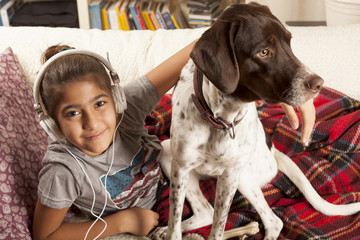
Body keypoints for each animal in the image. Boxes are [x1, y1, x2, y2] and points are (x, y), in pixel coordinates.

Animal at [155, 2, 360, 240]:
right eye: (264, 52)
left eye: (289, 42)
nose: (319, 84)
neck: (222, 119)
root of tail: (273, 151)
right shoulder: (180, 169)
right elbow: (175, 224)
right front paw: (170, 230)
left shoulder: (230, 177)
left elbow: (218, 226)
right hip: (167, 151)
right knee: (204, 213)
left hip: (242, 175)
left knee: (273, 222)